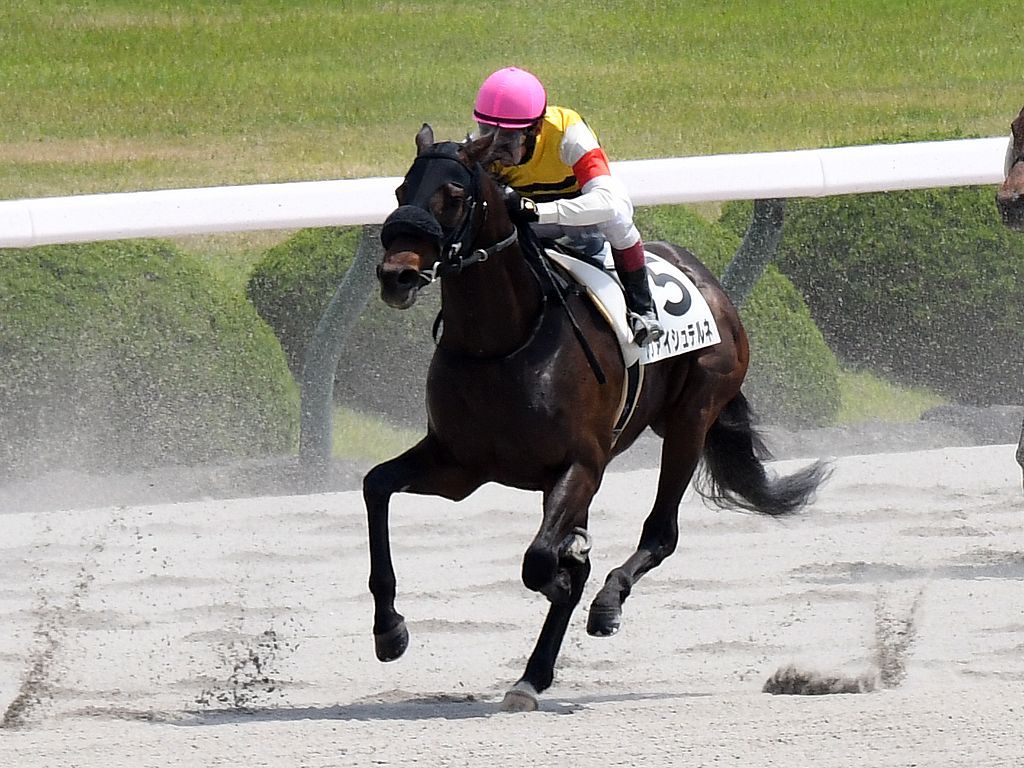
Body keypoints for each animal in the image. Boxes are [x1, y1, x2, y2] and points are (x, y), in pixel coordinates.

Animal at [363, 123, 830, 711]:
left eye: (453, 195)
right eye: (401, 190)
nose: (396, 276)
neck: (503, 343)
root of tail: (706, 279)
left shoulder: (581, 465)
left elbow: (543, 560)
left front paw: (569, 575)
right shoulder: (459, 466)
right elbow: (376, 486)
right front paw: (389, 630)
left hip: (692, 418)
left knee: (661, 532)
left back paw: (603, 607)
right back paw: (532, 674)